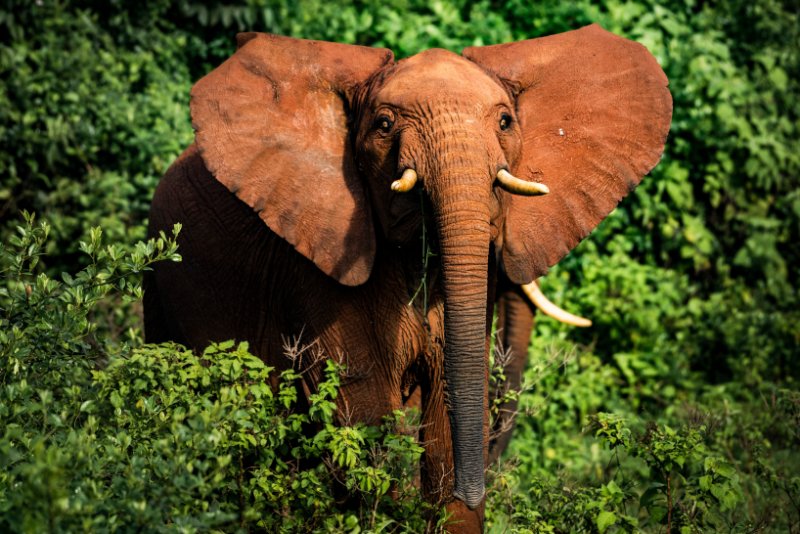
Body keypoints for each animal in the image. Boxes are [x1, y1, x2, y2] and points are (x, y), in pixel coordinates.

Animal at [144, 24, 668, 532]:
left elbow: (447, 412)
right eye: (383, 125)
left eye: (505, 122)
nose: (475, 489)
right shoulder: (317, 262)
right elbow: (365, 410)